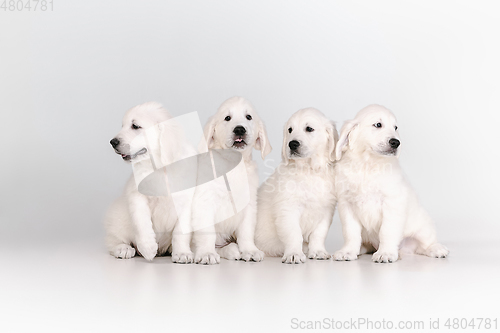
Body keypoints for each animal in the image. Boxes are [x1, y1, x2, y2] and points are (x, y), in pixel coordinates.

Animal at [105, 102, 195, 264]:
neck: (160, 168)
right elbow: (142, 223)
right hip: (117, 218)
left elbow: (180, 231)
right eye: (123, 125)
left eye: (135, 126)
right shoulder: (136, 197)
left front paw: (182, 253)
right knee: (113, 240)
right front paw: (148, 248)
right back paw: (123, 248)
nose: (112, 142)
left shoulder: (186, 201)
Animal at [191, 96, 272, 264]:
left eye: (249, 117)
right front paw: (206, 253)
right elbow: (207, 232)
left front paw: (249, 250)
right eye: (227, 118)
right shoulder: (203, 203)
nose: (240, 129)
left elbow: (246, 231)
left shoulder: (249, 205)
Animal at [256, 107, 338, 264]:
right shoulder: (288, 208)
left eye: (309, 129)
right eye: (290, 130)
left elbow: (319, 234)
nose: (292, 144)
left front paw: (318, 251)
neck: (309, 170)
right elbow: (293, 234)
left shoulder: (326, 210)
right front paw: (294, 254)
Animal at [332, 104, 450, 262]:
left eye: (395, 127)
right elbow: (350, 232)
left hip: (423, 226)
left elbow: (387, 231)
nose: (396, 142)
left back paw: (437, 249)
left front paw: (386, 253)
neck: (368, 165)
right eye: (378, 125)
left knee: (426, 244)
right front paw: (348, 251)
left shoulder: (392, 203)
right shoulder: (346, 205)